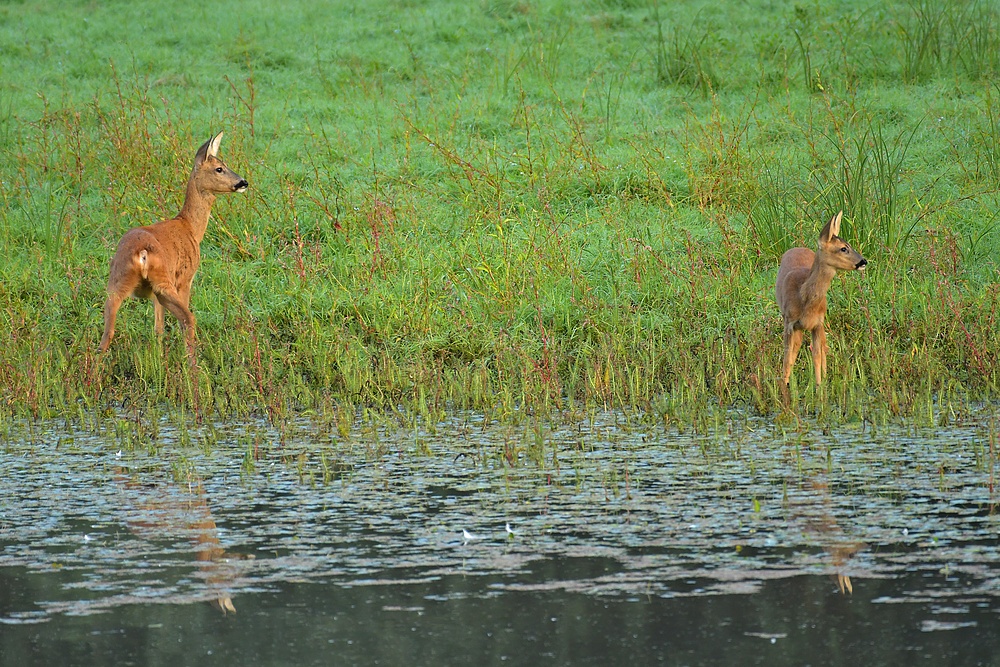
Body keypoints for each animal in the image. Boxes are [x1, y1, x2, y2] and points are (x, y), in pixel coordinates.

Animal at [98, 132, 248, 360]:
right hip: (164, 282)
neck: (190, 228)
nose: (243, 182)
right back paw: (192, 363)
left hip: (118, 283)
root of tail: (141, 253)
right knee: (188, 319)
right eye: (219, 168)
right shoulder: (185, 278)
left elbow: (158, 327)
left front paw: (159, 356)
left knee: (107, 333)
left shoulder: (154, 295)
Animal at [776, 209, 864, 386]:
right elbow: (787, 358)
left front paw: (820, 386)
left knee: (823, 347)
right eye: (843, 248)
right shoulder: (789, 322)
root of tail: (797, 247)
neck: (804, 298)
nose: (863, 261)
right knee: (795, 350)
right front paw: (785, 386)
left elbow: (817, 355)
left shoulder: (818, 323)